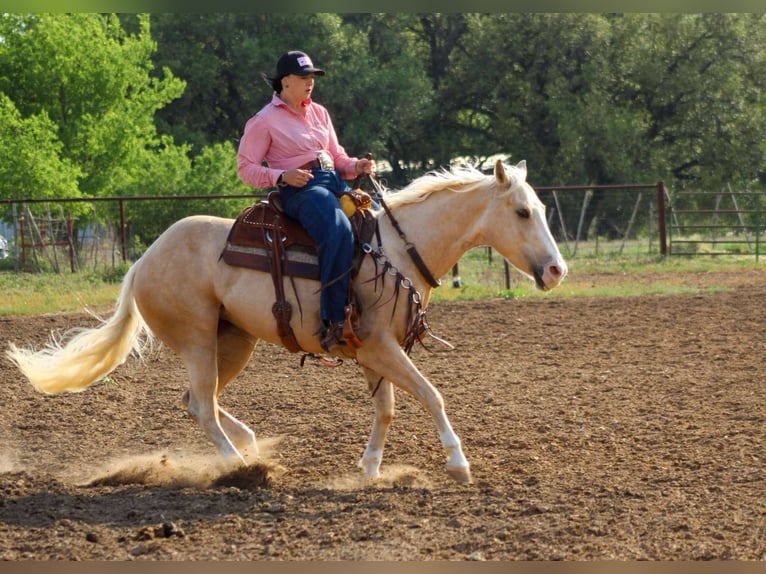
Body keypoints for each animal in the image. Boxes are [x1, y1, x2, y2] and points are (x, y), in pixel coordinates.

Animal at [7, 159, 567, 484]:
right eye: (521, 212)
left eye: (540, 207)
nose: (557, 270)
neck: (392, 251)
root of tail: (144, 259)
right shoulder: (383, 348)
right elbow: (432, 395)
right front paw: (457, 461)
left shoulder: (373, 351)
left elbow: (386, 409)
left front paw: (369, 468)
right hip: (198, 342)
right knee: (203, 407)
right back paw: (240, 466)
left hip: (232, 343)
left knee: (197, 401)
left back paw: (250, 444)